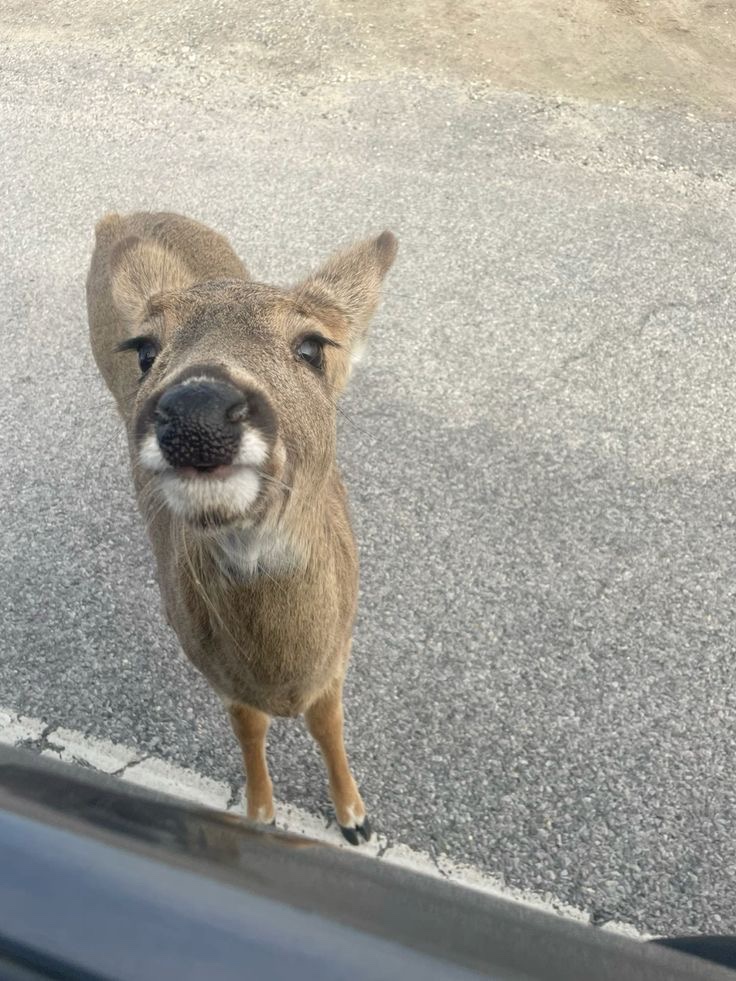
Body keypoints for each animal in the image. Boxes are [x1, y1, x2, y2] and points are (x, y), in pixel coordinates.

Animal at [86, 211, 397, 844]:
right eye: (146, 350)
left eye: (311, 345)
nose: (196, 411)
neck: (281, 673)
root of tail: (118, 219)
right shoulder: (214, 669)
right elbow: (247, 730)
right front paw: (261, 811)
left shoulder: (339, 648)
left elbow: (328, 722)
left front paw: (354, 817)